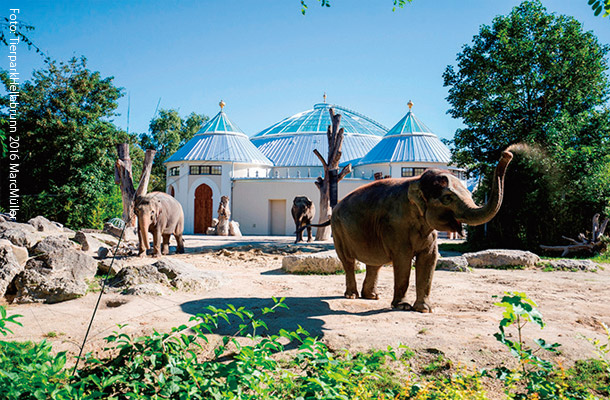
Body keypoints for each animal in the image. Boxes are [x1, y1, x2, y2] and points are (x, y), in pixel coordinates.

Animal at [302, 150, 510, 312]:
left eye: (469, 194)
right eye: (447, 198)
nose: (507, 154)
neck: (416, 180)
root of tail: (335, 208)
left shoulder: (428, 232)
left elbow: (429, 259)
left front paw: (424, 309)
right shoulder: (395, 225)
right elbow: (402, 260)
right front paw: (402, 306)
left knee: (374, 263)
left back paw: (372, 296)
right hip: (339, 230)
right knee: (349, 261)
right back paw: (352, 296)